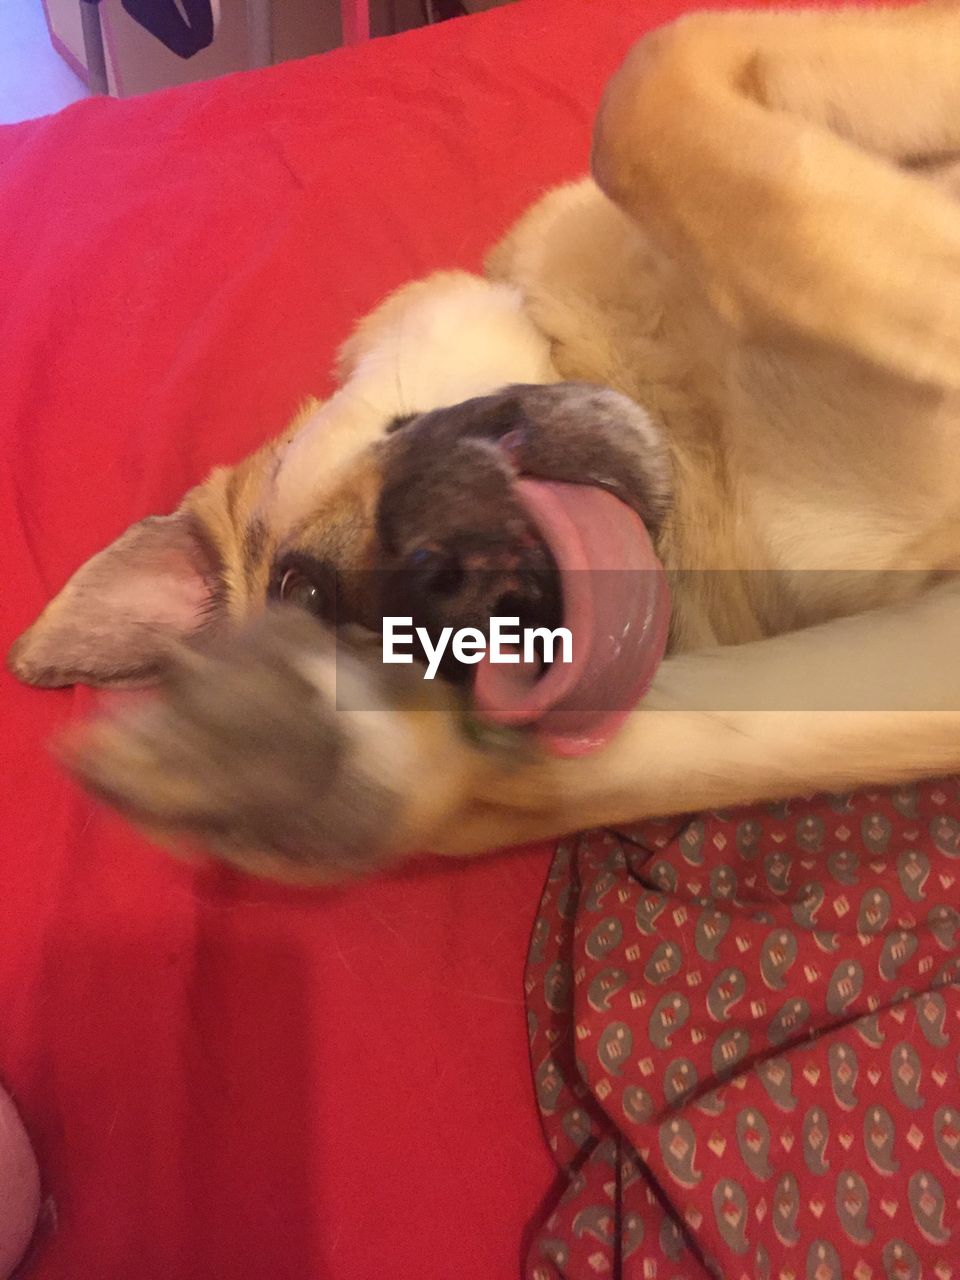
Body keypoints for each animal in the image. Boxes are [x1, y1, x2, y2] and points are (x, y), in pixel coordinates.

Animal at [5, 0, 960, 885]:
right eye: (322, 614)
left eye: (296, 585)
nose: (480, 606)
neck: (691, 439)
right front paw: (300, 765)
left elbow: (645, 89)